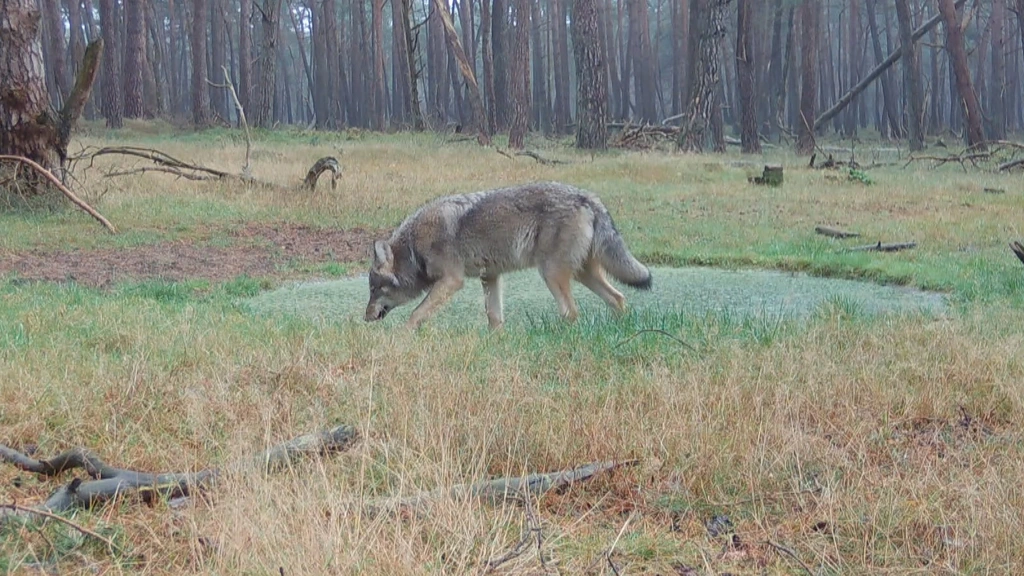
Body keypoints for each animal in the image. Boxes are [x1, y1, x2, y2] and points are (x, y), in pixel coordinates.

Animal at [363, 181, 652, 330]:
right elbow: (494, 318)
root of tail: (587, 196)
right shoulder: (490, 277)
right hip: (582, 274)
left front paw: (403, 337)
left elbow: (415, 314)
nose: (365, 318)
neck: (414, 248)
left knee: (571, 312)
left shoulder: (452, 281)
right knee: (618, 298)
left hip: (551, 273)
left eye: (374, 290)